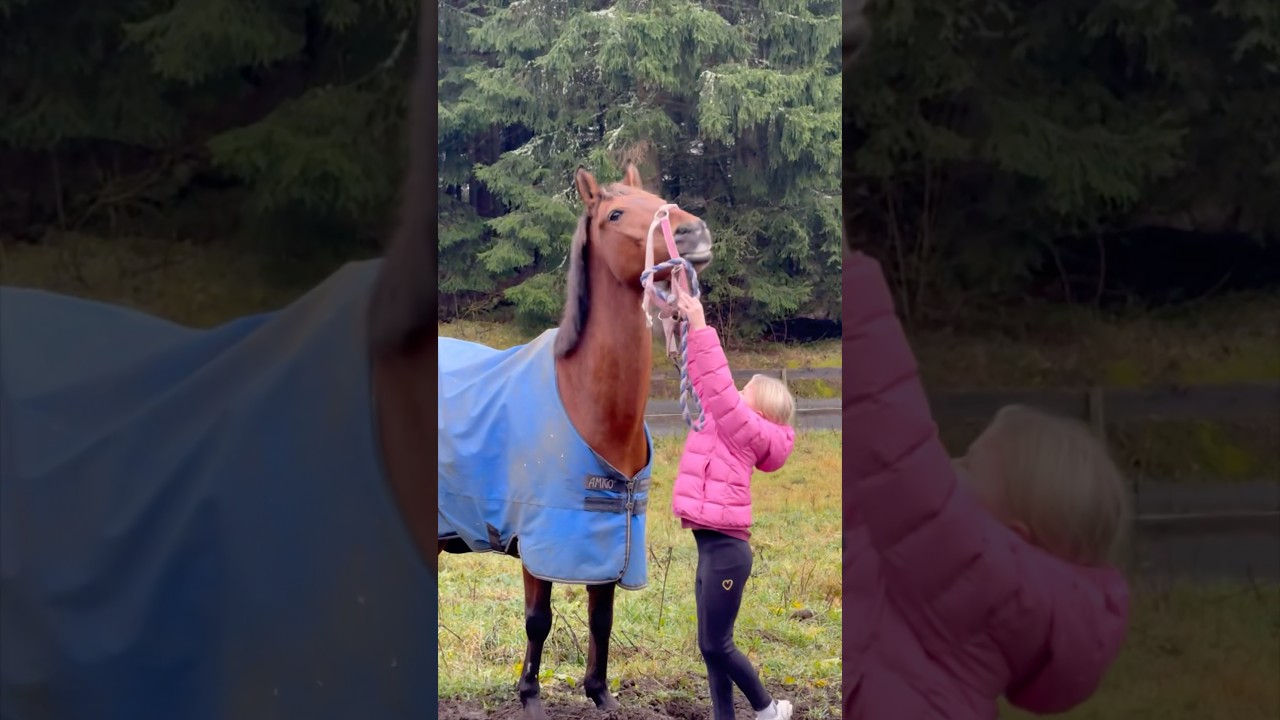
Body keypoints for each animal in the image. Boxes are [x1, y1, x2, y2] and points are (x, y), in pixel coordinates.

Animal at [436, 162, 714, 720]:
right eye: (615, 214)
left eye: (656, 195)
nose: (694, 234)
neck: (584, 400)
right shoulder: (540, 540)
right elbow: (537, 619)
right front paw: (529, 696)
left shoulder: (608, 540)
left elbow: (601, 617)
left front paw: (600, 693)